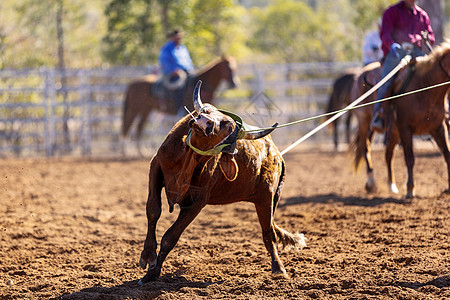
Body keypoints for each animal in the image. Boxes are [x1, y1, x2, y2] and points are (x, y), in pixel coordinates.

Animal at [352, 43, 450, 198]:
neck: (425, 87)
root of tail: (361, 74)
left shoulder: (438, 127)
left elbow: (447, 155)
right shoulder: (405, 128)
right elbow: (409, 158)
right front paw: (410, 189)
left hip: (393, 132)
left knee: (388, 155)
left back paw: (392, 186)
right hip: (364, 122)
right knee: (365, 148)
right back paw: (371, 183)